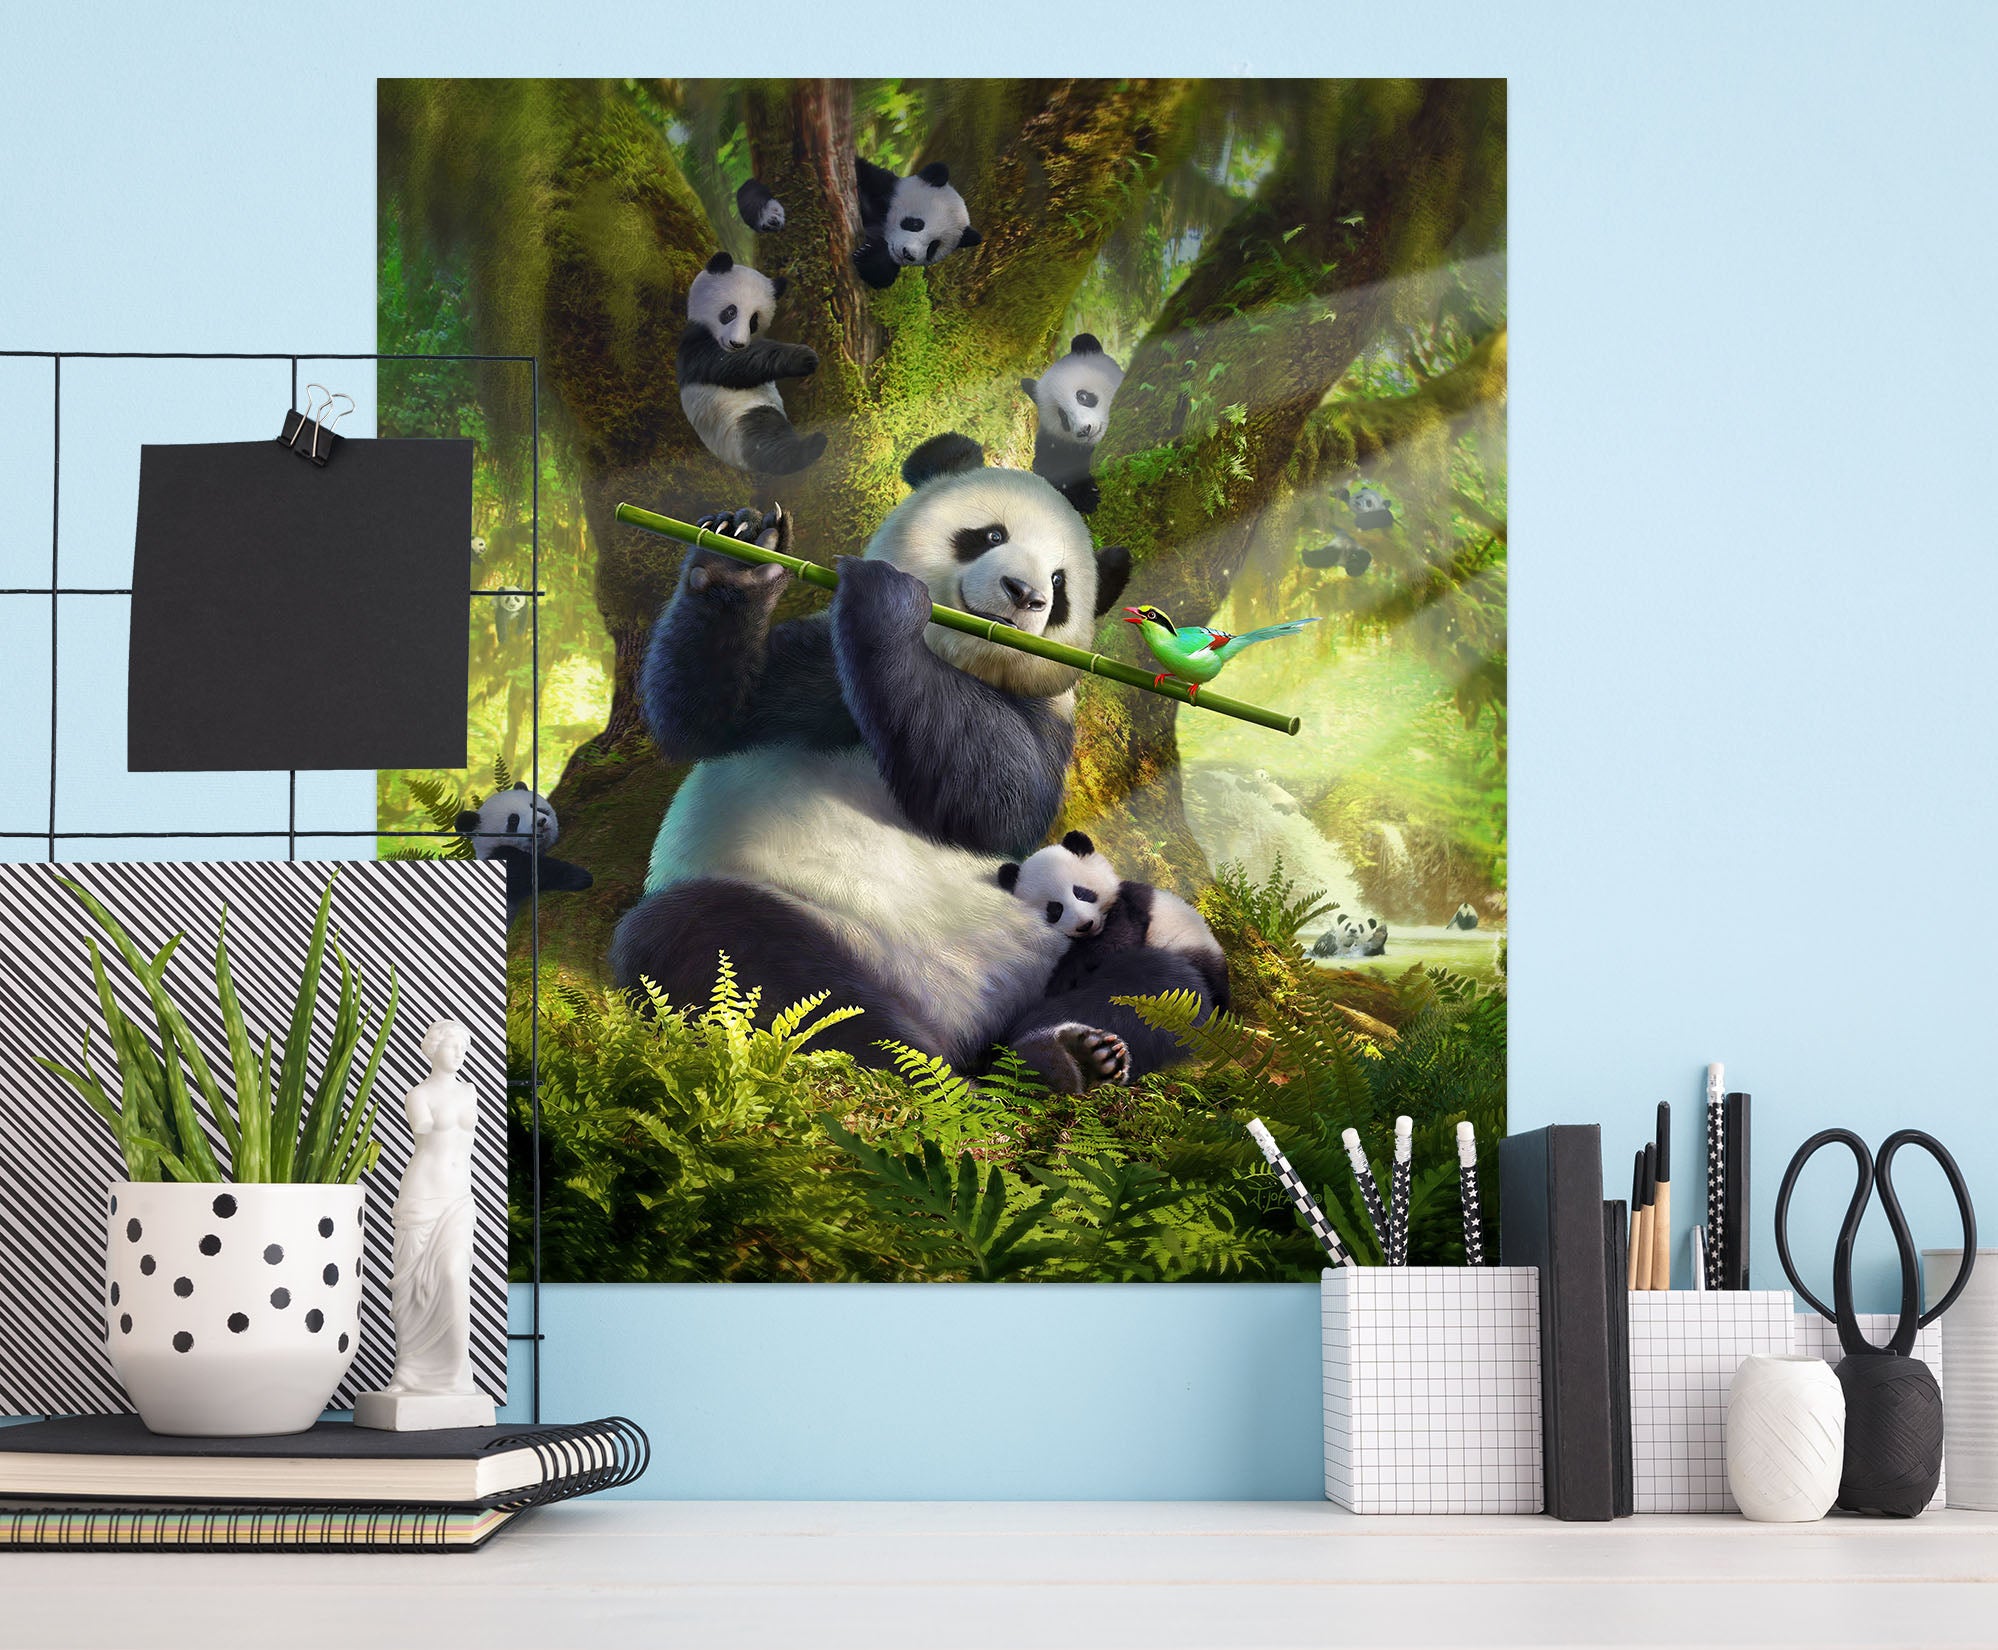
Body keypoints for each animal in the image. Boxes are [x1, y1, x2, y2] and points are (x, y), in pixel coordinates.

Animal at [454, 788, 593, 926]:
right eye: (513, 820)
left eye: (534, 806)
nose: (540, 822)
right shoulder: (497, 859)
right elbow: (522, 872)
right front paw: (577, 877)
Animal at [677, 252, 826, 475]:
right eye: (730, 311)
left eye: (754, 320)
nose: (737, 343)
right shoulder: (695, 344)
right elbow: (734, 364)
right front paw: (804, 358)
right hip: (733, 423)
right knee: (765, 438)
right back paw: (808, 449)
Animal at [853, 158, 982, 290]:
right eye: (916, 224)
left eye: (933, 246)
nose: (908, 254)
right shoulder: (878, 184)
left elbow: (881, 276)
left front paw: (870, 255)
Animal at [1020, 335, 1125, 515]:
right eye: (1062, 415)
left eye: (1082, 396)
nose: (1084, 430)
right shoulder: (1052, 444)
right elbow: (1048, 469)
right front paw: (1087, 495)